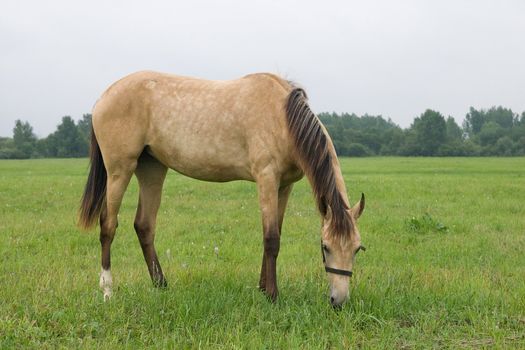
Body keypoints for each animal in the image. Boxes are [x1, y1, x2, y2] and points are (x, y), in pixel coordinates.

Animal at [78, 71, 364, 306]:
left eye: (357, 249)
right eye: (325, 247)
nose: (339, 301)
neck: (283, 118)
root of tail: (104, 97)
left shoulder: (284, 186)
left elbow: (274, 235)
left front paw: (262, 288)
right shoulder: (267, 179)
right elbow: (271, 239)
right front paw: (272, 296)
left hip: (152, 170)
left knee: (144, 226)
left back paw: (161, 285)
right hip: (119, 170)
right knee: (108, 225)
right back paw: (107, 291)